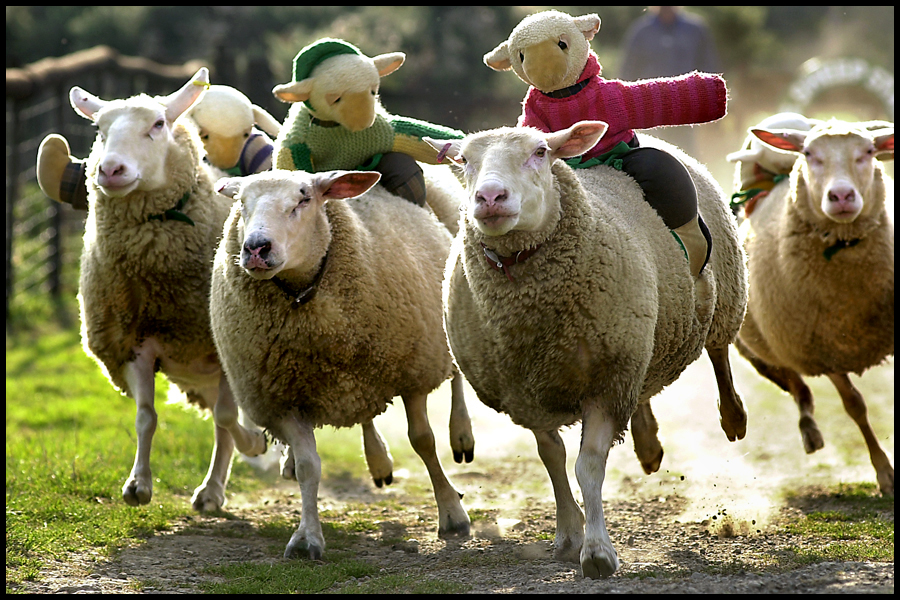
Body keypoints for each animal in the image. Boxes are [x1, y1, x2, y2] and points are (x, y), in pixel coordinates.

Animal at [70, 69, 268, 510]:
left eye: (158, 125)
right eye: (100, 130)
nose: (110, 170)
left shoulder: (224, 345)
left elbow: (227, 419)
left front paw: (255, 444)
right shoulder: (134, 340)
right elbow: (146, 417)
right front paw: (138, 484)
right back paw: (213, 489)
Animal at [426, 120, 748, 576]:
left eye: (540, 152)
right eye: (465, 160)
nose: (489, 198)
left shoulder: (606, 381)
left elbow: (588, 464)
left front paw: (597, 552)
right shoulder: (527, 392)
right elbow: (552, 459)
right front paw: (568, 533)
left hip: (722, 293)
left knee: (719, 350)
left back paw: (732, 416)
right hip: (638, 335)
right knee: (644, 388)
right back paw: (648, 445)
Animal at [732, 119, 892, 494]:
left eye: (869, 152)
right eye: (808, 154)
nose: (842, 196)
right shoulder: (822, 348)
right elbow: (855, 406)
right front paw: (885, 474)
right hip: (769, 342)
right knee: (795, 384)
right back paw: (809, 431)